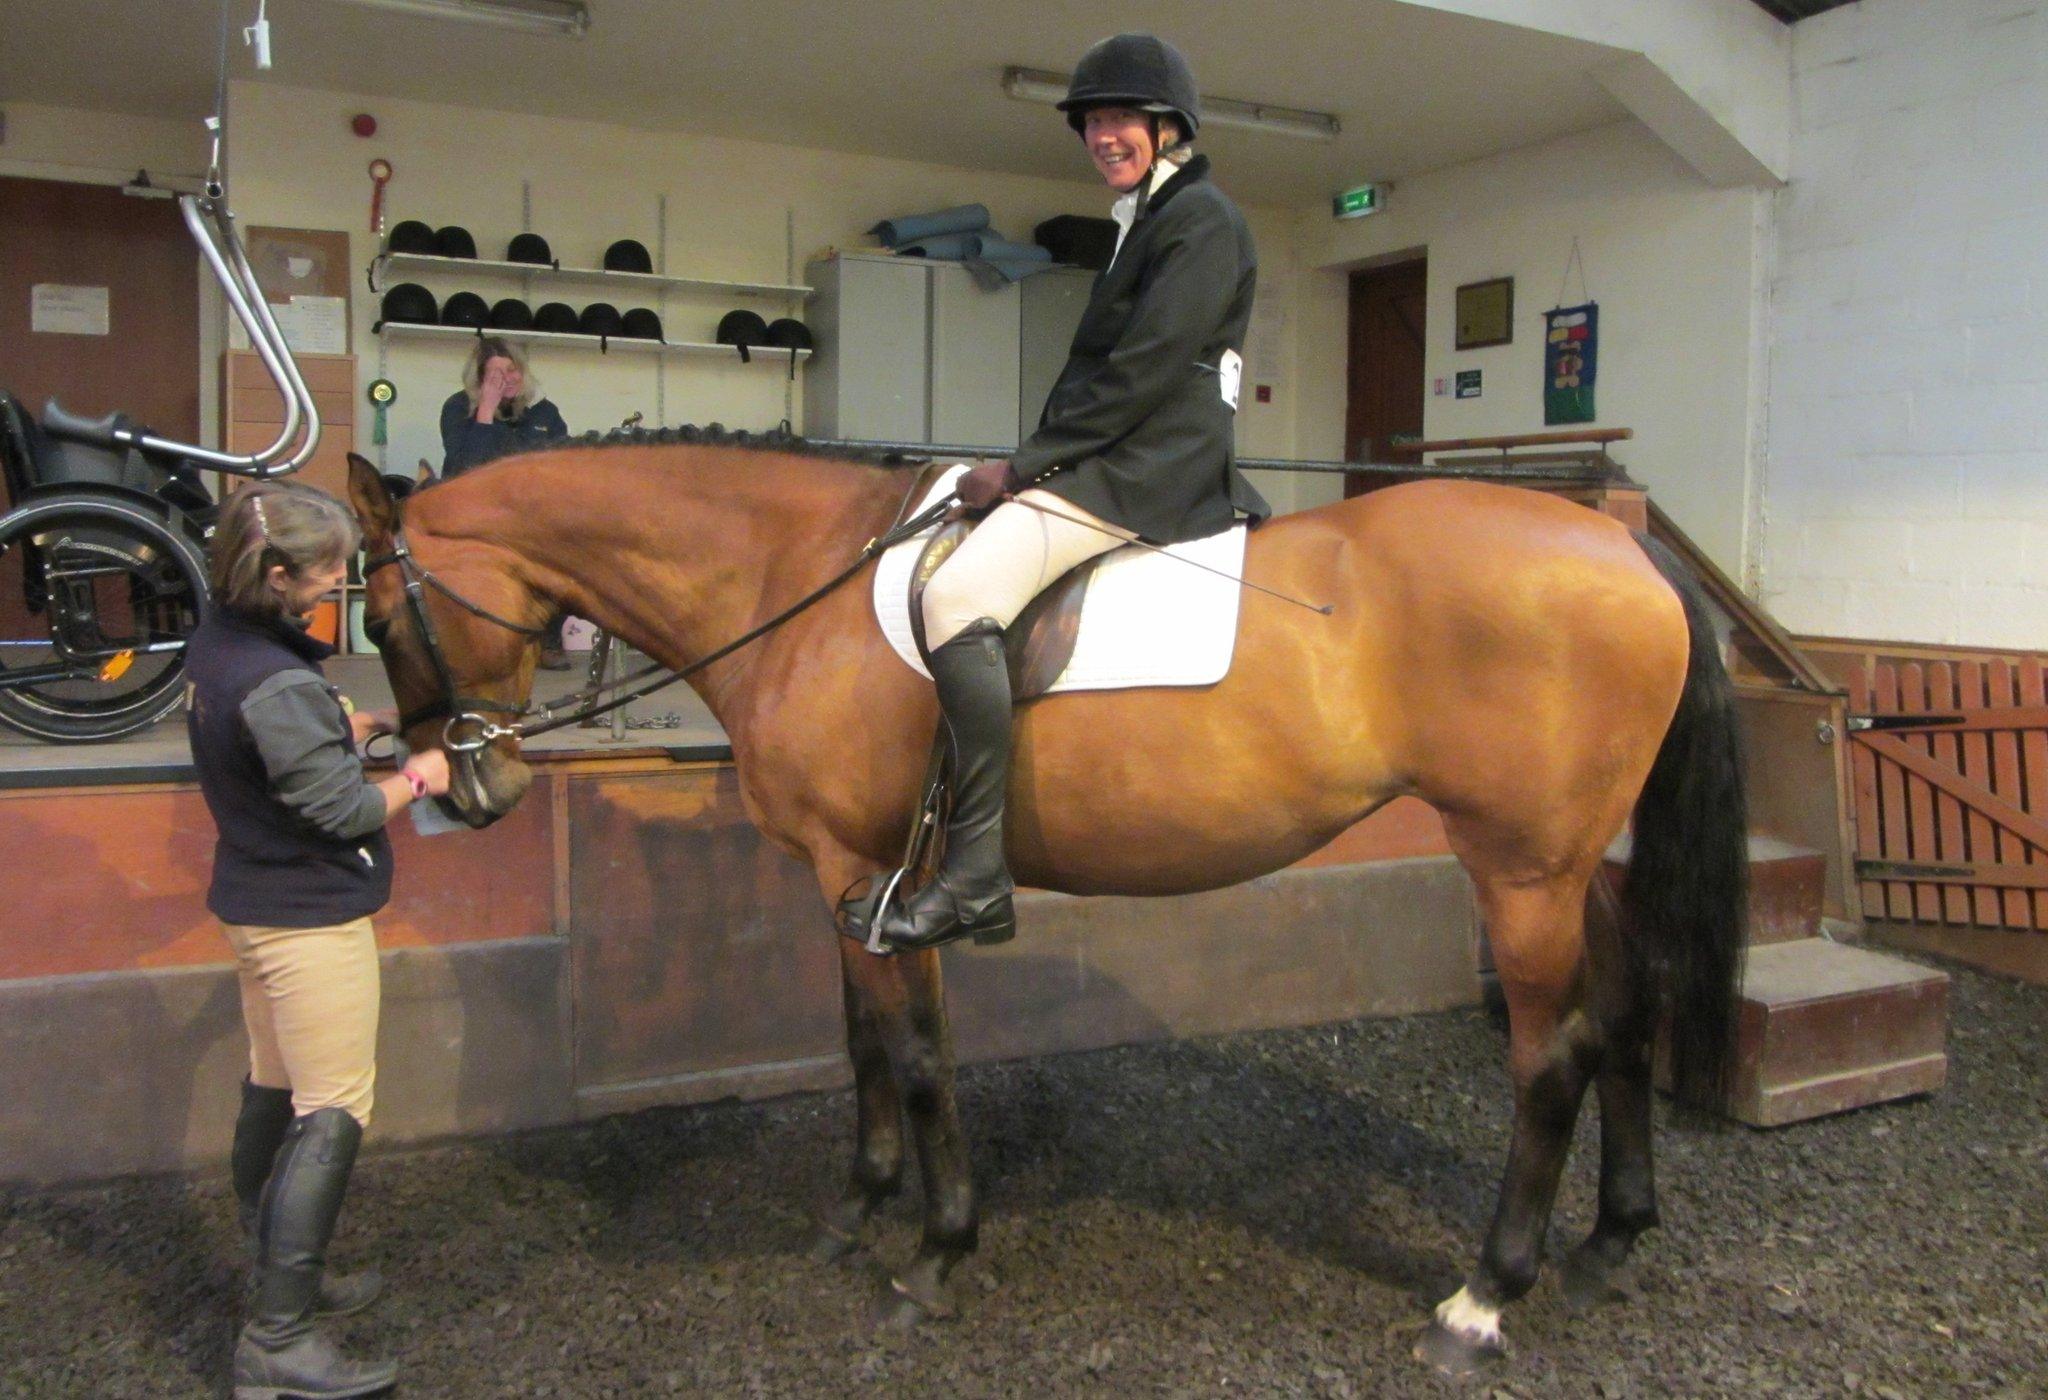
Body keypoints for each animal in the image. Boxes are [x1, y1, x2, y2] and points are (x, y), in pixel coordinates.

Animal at [342, 435, 1745, 1374]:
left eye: (382, 610)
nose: (469, 791)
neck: (789, 577)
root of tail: (1617, 540)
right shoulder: (844, 881)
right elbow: (863, 1044)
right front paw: (856, 1209)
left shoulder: (870, 875)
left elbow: (913, 1055)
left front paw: (935, 1251)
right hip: (1575, 865)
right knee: (1626, 1012)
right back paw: (1610, 1240)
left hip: (1516, 871)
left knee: (1549, 1056)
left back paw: (1482, 1298)